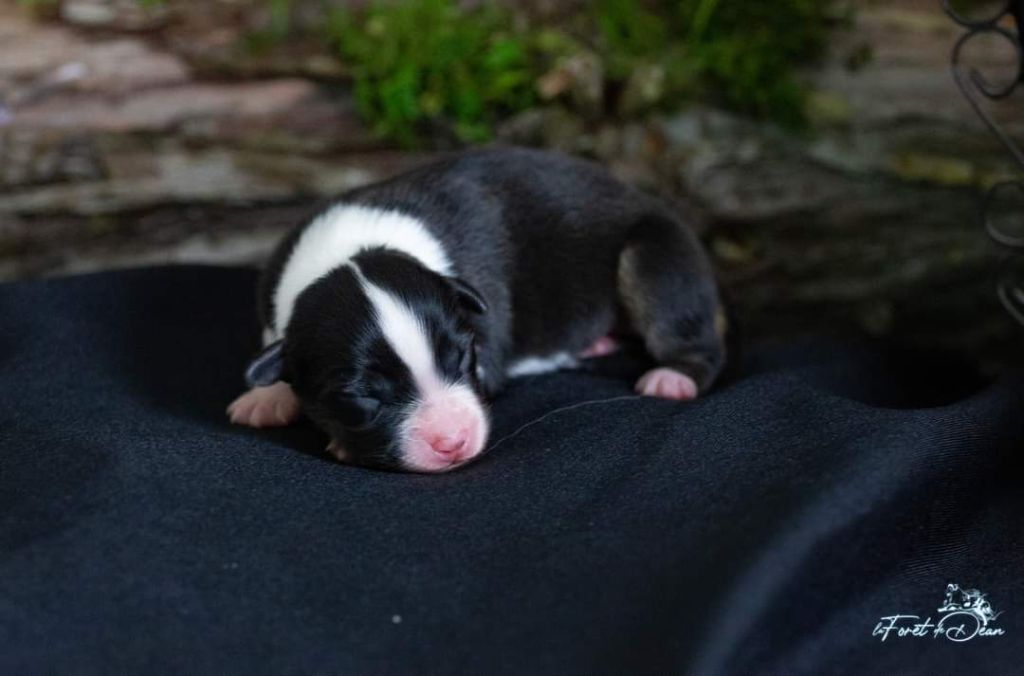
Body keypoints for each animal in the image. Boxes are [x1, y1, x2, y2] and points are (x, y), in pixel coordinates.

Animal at [230, 147, 729, 473]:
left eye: (462, 358)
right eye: (363, 397)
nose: (453, 442)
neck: (350, 252)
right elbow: (274, 349)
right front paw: (266, 396)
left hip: (655, 255)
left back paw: (673, 376)